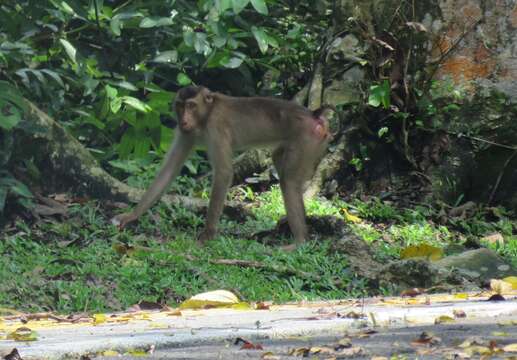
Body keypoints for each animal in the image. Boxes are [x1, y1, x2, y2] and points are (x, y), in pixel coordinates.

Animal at [112, 85, 330, 248]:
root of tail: (313, 116)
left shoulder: (215, 127)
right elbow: (169, 170)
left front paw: (207, 235)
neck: (206, 115)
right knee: (282, 164)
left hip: (306, 138)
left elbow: (224, 173)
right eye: (180, 106)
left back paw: (300, 241)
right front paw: (132, 215)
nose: (184, 119)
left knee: (289, 181)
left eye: (191, 105)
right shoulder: (186, 132)